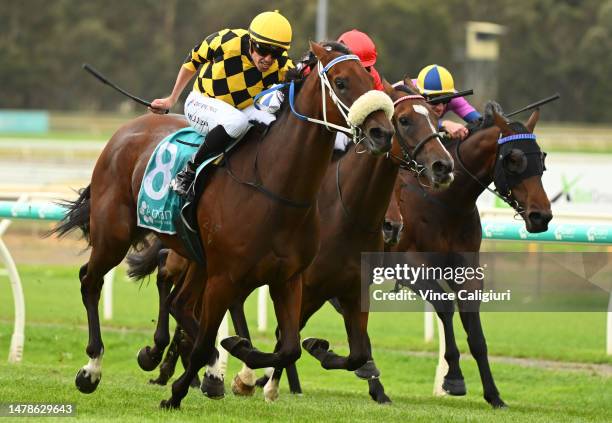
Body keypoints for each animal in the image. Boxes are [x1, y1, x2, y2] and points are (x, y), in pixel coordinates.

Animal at [52, 41, 396, 410]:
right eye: (342, 82)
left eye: (371, 79)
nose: (382, 133)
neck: (275, 188)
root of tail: (125, 131)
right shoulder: (226, 277)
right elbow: (210, 342)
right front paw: (181, 390)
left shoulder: (289, 278)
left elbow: (290, 348)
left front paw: (261, 353)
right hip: (115, 234)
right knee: (91, 281)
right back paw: (92, 369)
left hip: (196, 258)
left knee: (179, 304)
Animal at [388, 101, 556, 410]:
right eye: (513, 159)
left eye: (542, 158)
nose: (541, 216)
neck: (443, 202)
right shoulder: (406, 265)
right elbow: (444, 305)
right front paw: (453, 377)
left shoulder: (467, 270)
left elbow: (476, 333)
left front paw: (494, 395)